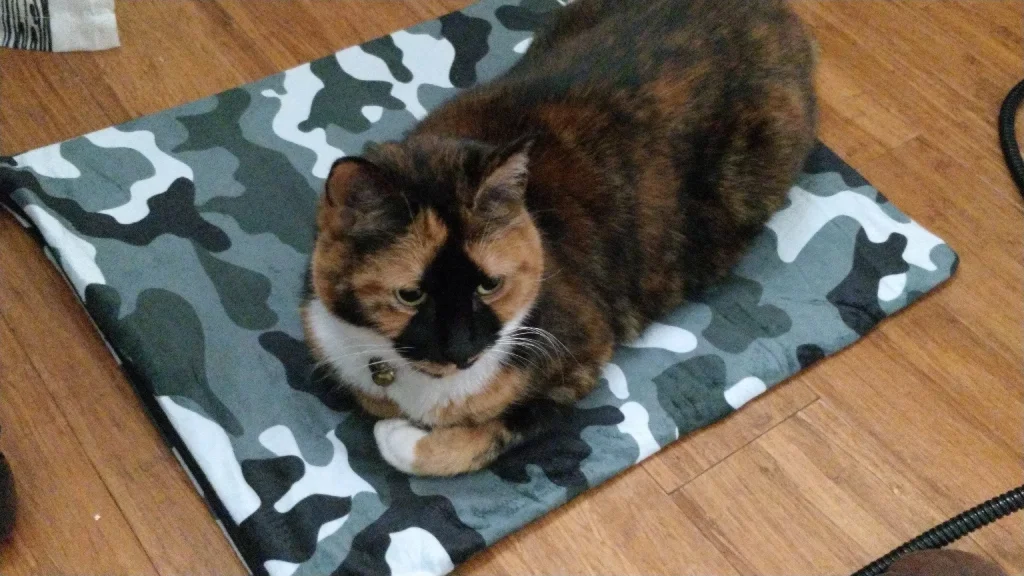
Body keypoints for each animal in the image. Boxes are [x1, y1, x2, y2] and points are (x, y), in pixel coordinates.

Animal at [301, 0, 815, 473]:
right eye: (410, 295)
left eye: (489, 284)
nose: (462, 351)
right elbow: (371, 398)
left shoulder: (580, 357)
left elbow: (485, 435)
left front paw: (400, 436)